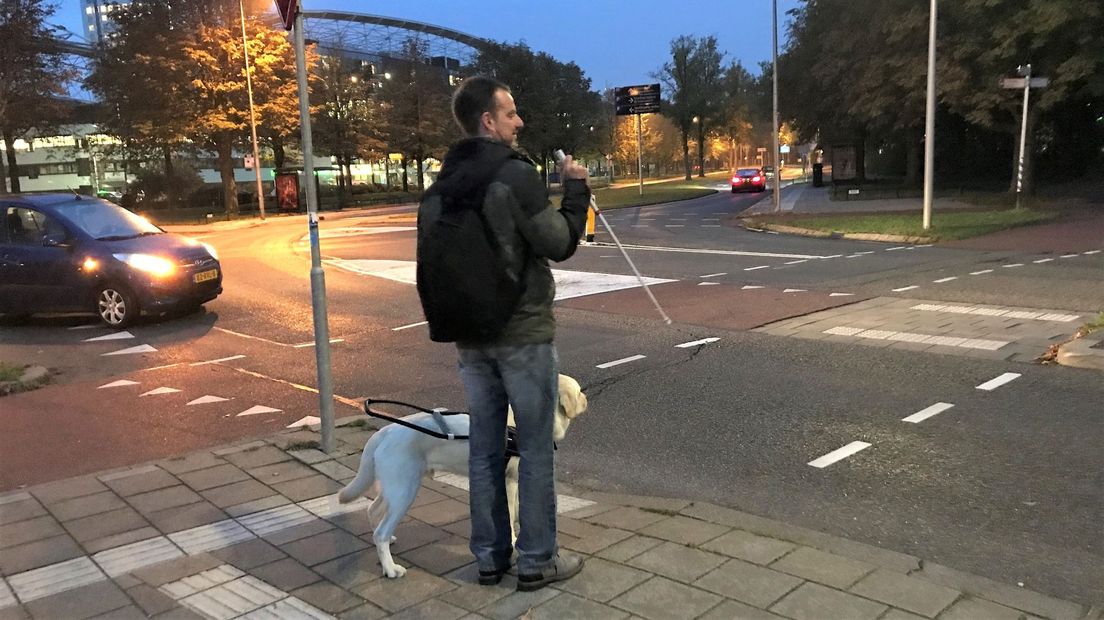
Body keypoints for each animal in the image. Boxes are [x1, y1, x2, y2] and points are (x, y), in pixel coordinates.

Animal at [337, 375, 591, 578]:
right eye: (579, 391)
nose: (587, 398)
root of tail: (385, 431)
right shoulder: (508, 481)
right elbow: (509, 516)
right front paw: (513, 541)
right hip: (404, 491)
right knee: (380, 531)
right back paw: (390, 568)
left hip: (394, 487)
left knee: (373, 512)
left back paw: (386, 548)